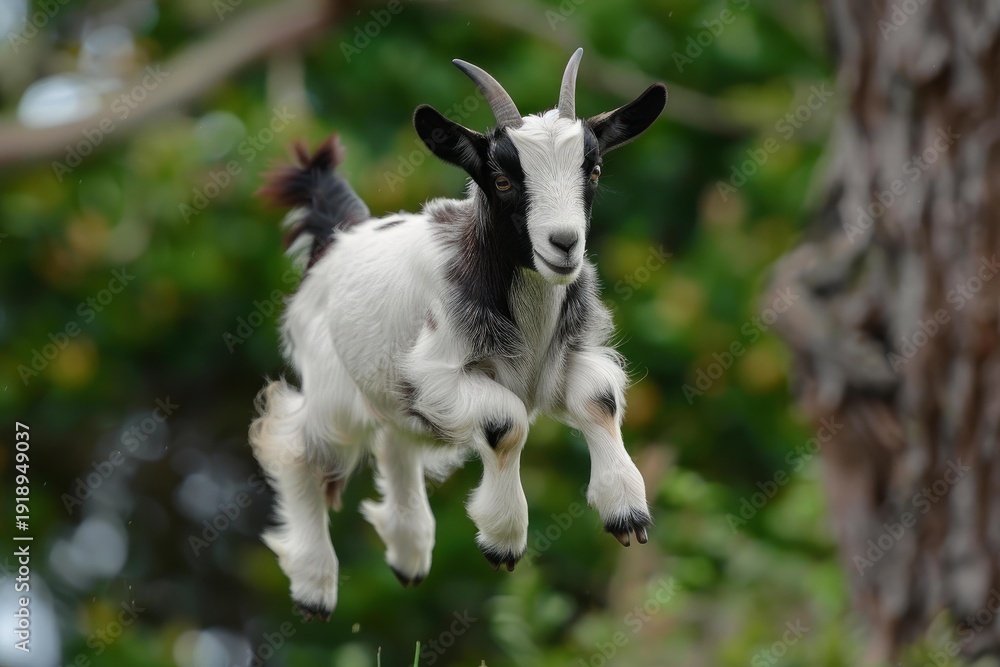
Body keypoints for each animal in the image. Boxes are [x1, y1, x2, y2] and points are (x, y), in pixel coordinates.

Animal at [250, 49, 667, 620]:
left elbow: (599, 398)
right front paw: (503, 540)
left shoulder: (569, 356)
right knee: (297, 446)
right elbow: (505, 422)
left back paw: (408, 552)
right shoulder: (438, 373)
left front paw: (626, 512)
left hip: (391, 392)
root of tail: (340, 236)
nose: (564, 244)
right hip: (336, 388)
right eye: (503, 180)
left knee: (396, 441)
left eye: (595, 169)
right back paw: (314, 586)